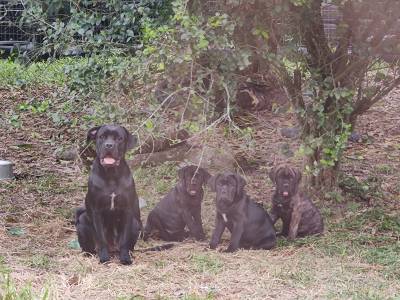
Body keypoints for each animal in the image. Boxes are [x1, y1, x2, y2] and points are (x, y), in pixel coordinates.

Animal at [75, 124, 142, 264]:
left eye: (119, 138)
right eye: (101, 137)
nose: (109, 145)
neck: (111, 175)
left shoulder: (127, 211)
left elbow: (125, 239)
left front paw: (125, 259)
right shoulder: (97, 211)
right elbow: (101, 239)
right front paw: (104, 258)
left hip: (135, 224)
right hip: (82, 222)